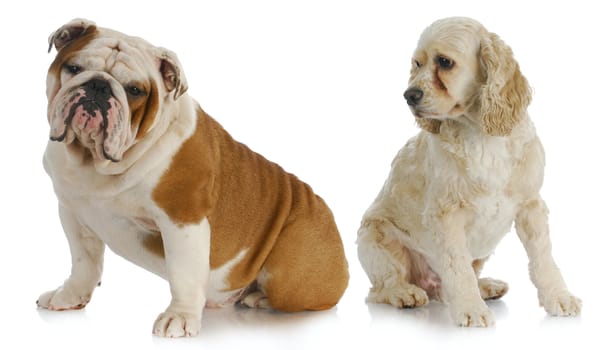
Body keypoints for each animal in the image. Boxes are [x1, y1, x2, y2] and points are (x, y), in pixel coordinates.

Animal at [37, 18, 350, 336]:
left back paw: (261, 298)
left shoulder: (182, 219)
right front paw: (70, 296)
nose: (98, 85)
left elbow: (183, 273)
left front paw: (179, 317)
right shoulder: (74, 213)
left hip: (290, 276)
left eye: (135, 90)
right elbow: (84, 263)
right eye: (74, 68)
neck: (94, 161)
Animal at [354, 17, 580, 326]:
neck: (481, 133)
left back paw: (487, 287)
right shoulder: (446, 214)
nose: (409, 95)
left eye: (444, 62)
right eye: (417, 64)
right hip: (374, 240)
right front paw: (471, 310)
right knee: (379, 289)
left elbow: (543, 259)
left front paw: (559, 297)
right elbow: (457, 266)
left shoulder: (530, 205)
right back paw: (405, 292)